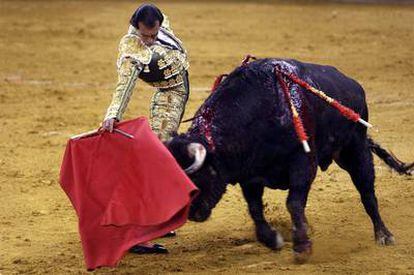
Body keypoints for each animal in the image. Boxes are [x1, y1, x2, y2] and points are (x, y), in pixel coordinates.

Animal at [167, 58, 412, 264]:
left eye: (196, 177)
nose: (192, 213)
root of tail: (354, 85)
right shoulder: (251, 175)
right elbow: (255, 209)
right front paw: (273, 239)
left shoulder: (303, 163)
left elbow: (293, 203)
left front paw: (302, 247)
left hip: (355, 150)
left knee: (367, 193)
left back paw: (384, 235)